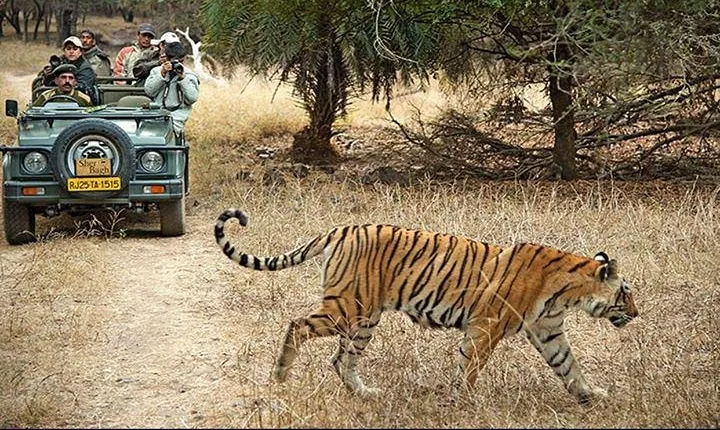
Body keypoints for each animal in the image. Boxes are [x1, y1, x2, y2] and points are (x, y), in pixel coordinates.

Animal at [214, 208, 639, 404]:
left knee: (340, 359)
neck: (569, 291)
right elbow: (471, 367)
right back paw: (280, 376)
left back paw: (364, 392)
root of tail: (340, 229)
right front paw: (466, 400)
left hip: (365, 318)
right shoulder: (486, 326)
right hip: (346, 308)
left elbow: (568, 364)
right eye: (626, 293)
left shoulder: (548, 331)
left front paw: (590, 395)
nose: (637, 314)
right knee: (298, 324)